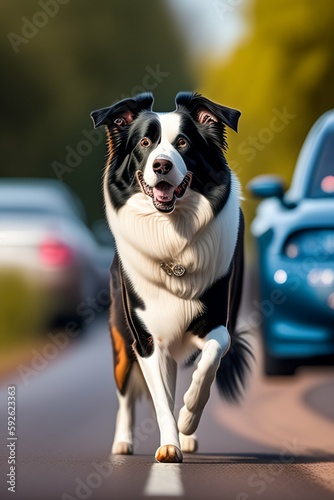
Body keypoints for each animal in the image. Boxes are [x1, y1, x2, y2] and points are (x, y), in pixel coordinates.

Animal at [90, 92, 252, 462]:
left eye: (183, 142)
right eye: (145, 143)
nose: (161, 165)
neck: (172, 235)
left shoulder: (218, 324)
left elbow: (208, 363)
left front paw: (188, 418)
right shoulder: (147, 340)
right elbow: (160, 398)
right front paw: (168, 446)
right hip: (120, 338)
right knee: (125, 394)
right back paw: (123, 442)